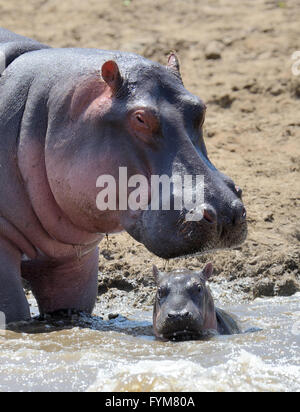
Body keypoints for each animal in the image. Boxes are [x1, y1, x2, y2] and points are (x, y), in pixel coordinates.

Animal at [0, 28, 246, 326]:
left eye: (201, 108)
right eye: (140, 118)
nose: (226, 212)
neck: (41, 114)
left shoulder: (73, 263)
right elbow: (13, 308)